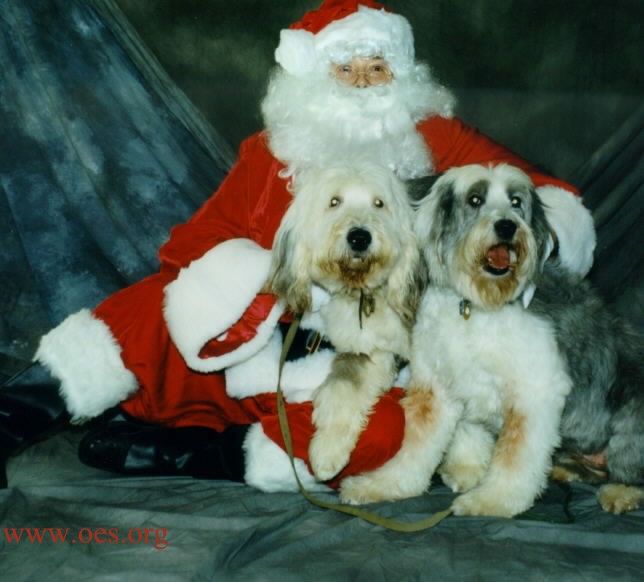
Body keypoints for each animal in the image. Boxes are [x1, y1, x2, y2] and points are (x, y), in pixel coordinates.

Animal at [340, 163, 640, 516]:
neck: (475, 307)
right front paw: (388, 484)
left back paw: (620, 492)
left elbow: (515, 455)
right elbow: (422, 444)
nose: (507, 227)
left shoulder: (534, 393)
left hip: (629, 425)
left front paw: (491, 499)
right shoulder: (442, 385)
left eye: (515, 202)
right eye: (475, 199)